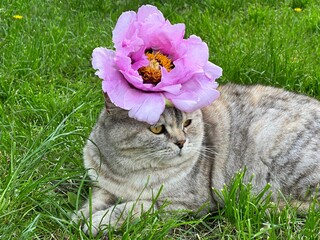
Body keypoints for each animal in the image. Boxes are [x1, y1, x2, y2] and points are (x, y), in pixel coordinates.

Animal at [73, 83, 320, 235]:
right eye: (156, 129)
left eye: (187, 123)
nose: (182, 142)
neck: (131, 171)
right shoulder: (104, 184)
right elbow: (95, 199)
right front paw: (80, 215)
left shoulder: (183, 203)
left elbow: (134, 208)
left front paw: (97, 221)